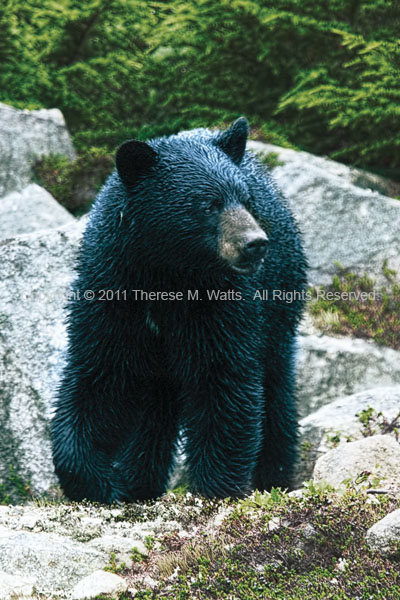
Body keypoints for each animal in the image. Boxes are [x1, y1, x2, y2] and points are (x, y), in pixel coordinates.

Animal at [52, 117, 306, 502]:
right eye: (209, 204)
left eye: (246, 199)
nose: (256, 244)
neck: (168, 276)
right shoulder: (112, 295)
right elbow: (100, 380)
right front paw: (101, 482)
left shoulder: (224, 305)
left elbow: (223, 382)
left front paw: (214, 488)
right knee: (153, 413)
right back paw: (139, 480)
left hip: (279, 309)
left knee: (276, 395)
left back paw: (274, 477)